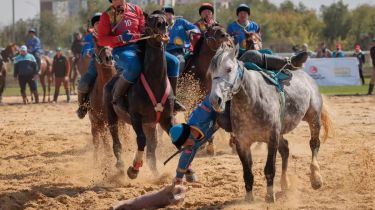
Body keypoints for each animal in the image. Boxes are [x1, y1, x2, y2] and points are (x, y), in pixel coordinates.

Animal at [104, 13, 175, 177]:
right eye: (149, 21)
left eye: (164, 19)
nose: (162, 24)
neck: (155, 82)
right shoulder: (136, 117)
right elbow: (141, 140)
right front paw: (134, 169)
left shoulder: (165, 118)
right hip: (112, 118)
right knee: (117, 143)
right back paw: (121, 165)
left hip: (150, 125)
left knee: (151, 149)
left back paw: (156, 174)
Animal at [210, 44, 334, 203]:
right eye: (212, 71)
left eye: (229, 69)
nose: (215, 99)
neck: (254, 99)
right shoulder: (242, 143)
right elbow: (247, 172)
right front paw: (249, 198)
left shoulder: (272, 138)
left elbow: (269, 169)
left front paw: (270, 195)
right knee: (286, 149)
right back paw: (285, 182)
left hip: (314, 118)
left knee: (314, 144)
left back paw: (316, 177)